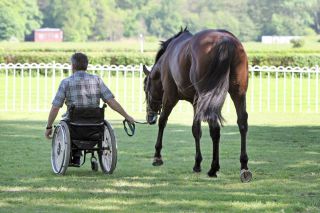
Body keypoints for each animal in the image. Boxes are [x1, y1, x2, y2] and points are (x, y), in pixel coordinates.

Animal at [143, 27, 252, 181]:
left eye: (145, 88)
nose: (149, 117)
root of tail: (225, 40)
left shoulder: (170, 97)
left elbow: (163, 121)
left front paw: (157, 157)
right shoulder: (196, 103)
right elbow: (196, 130)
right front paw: (197, 163)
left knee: (215, 128)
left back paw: (213, 168)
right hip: (238, 92)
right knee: (242, 123)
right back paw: (244, 166)